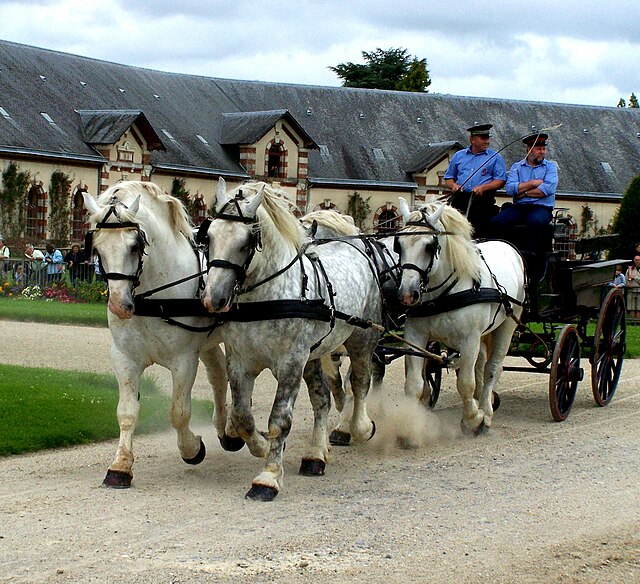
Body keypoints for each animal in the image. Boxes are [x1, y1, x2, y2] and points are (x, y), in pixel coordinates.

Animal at [82, 181, 231, 488]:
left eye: (134, 245)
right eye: (97, 247)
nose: (120, 305)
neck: (154, 297)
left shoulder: (184, 360)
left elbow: (179, 413)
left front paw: (192, 449)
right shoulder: (125, 359)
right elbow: (126, 413)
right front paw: (120, 466)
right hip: (208, 342)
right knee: (219, 375)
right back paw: (224, 429)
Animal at [201, 179, 383, 501]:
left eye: (246, 241)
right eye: (208, 236)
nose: (214, 299)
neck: (266, 298)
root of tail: (355, 245)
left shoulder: (290, 364)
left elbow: (280, 419)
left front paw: (268, 478)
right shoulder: (240, 362)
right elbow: (242, 415)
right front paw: (260, 446)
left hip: (362, 339)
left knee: (360, 382)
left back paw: (357, 427)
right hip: (313, 357)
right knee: (322, 399)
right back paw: (315, 455)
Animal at [395, 197, 526, 434]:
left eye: (429, 246)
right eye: (398, 245)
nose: (407, 295)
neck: (442, 294)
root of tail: (507, 246)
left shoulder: (469, 339)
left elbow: (465, 383)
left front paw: (474, 418)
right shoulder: (415, 336)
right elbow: (414, 384)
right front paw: (409, 426)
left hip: (507, 325)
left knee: (492, 367)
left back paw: (486, 410)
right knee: (481, 363)